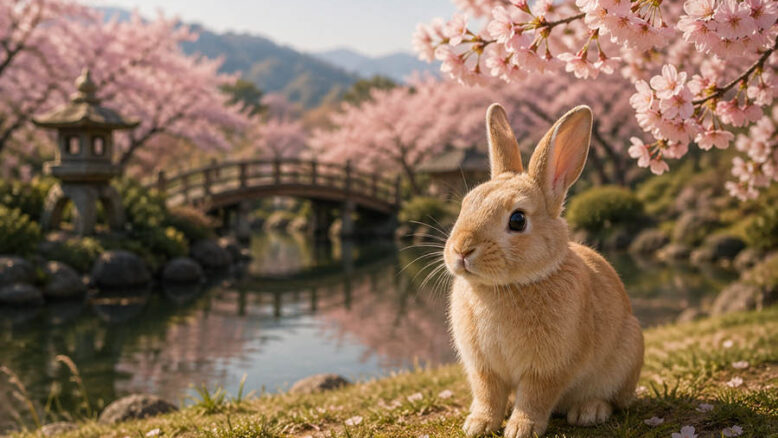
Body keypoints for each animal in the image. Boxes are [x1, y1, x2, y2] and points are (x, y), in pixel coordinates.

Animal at [444, 104, 644, 438]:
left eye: (517, 220)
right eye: (465, 205)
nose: (461, 250)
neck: (507, 286)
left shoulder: (549, 367)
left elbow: (534, 398)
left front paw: (520, 429)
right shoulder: (483, 367)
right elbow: (487, 394)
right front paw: (477, 425)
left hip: (625, 358)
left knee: (613, 399)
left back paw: (589, 412)